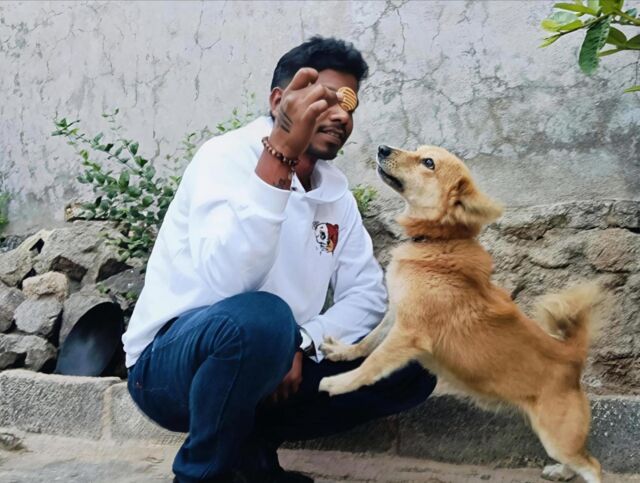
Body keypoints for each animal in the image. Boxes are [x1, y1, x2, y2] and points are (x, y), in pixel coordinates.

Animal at [319, 145, 603, 483]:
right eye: (418, 150)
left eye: (428, 163)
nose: (382, 148)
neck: (437, 241)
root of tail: (572, 355)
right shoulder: (395, 314)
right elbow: (367, 342)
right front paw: (341, 352)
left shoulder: (407, 333)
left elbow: (372, 364)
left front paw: (339, 383)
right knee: (576, 461)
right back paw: (560, 471)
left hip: (556, 434)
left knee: (592, 465)